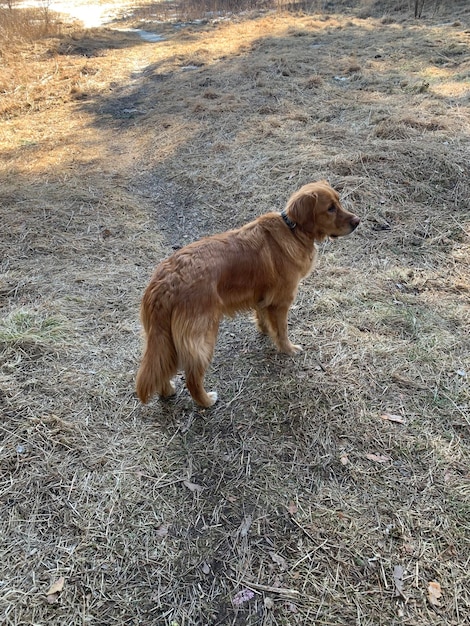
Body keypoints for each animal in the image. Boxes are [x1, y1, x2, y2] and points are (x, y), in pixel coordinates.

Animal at [136, 179, 360, 404]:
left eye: (339, 202)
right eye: (330, 208)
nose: (357, 221)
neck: (294, 230)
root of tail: (166, 282)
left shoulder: (262, 296)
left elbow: (263, 317)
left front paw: (265, 331)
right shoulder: (281, 302)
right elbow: (282, 330)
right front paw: (288, 349)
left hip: (162, 338)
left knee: (161, 367)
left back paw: (167, 391)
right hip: (203, 335)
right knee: (191, 375)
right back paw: (206, 400)